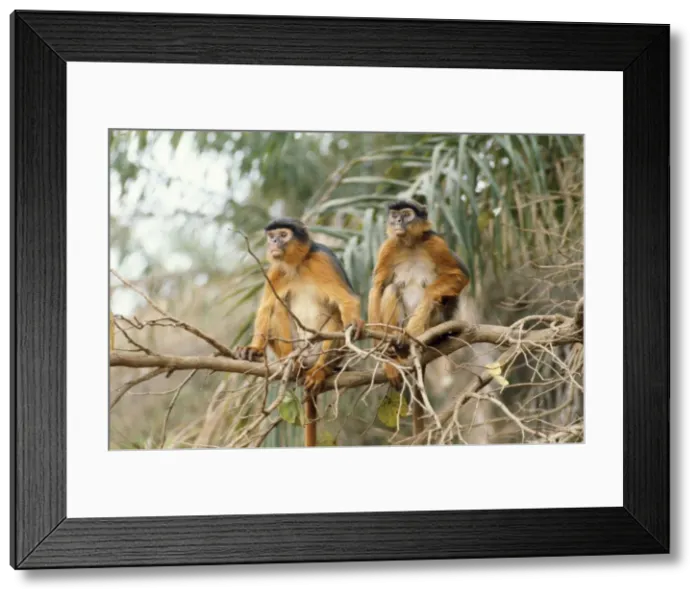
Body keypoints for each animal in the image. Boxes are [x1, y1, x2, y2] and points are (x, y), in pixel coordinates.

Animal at [233, 217, 364, 396]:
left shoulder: (323, 259)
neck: (298, 264)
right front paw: (254, 349)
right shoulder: (276, 270)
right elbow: (266, 308)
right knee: (276, 308)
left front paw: (355, 324)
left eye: (283, 235)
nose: (274, 242)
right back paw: (290, 362)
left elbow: (347, 300)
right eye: (272, 236)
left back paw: (320, 370)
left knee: (338, 316)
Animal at [368, 198, 471, 390]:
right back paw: (396, 351)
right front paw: (384, 356)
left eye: (406, 214)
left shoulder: (435, 242)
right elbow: (378, 288)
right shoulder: (388, 247)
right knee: (391, 289)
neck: (411, 245)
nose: (398, 221)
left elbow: (459, 276)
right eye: (395, 215)